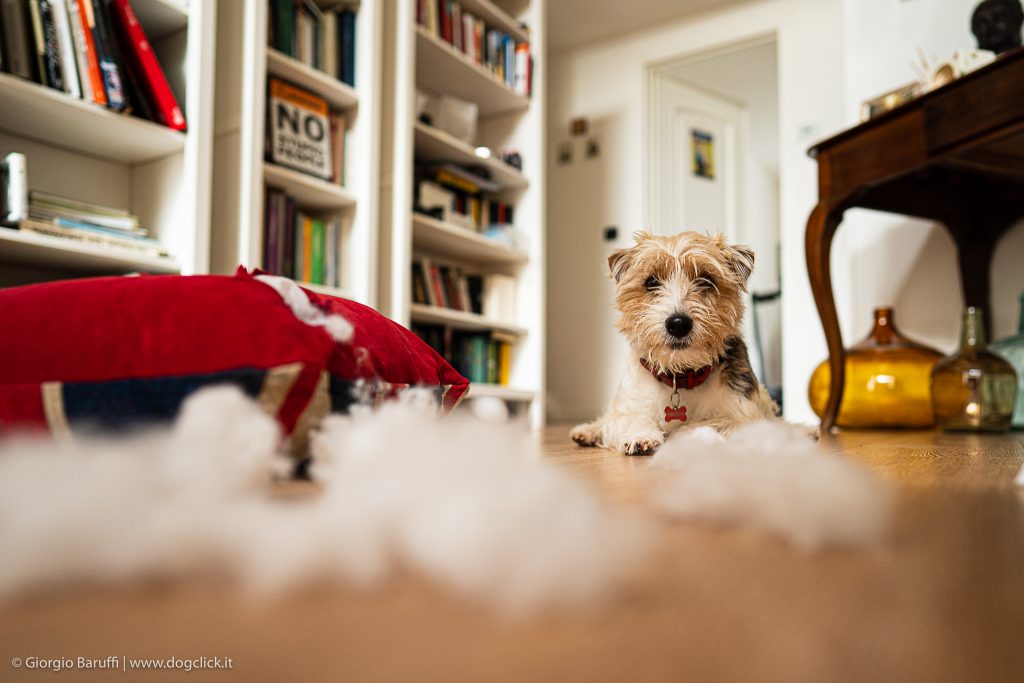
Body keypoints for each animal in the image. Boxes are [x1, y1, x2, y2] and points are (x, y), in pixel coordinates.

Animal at [569, 229, 774, 454]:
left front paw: (682, 435)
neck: (679, 375)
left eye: (706, 280)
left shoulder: (749, 417)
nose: (678, 324)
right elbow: (627, 419)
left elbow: (707, 424)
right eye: (651, 282)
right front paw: (642, 436)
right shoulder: (626, 407)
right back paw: (587, 431)